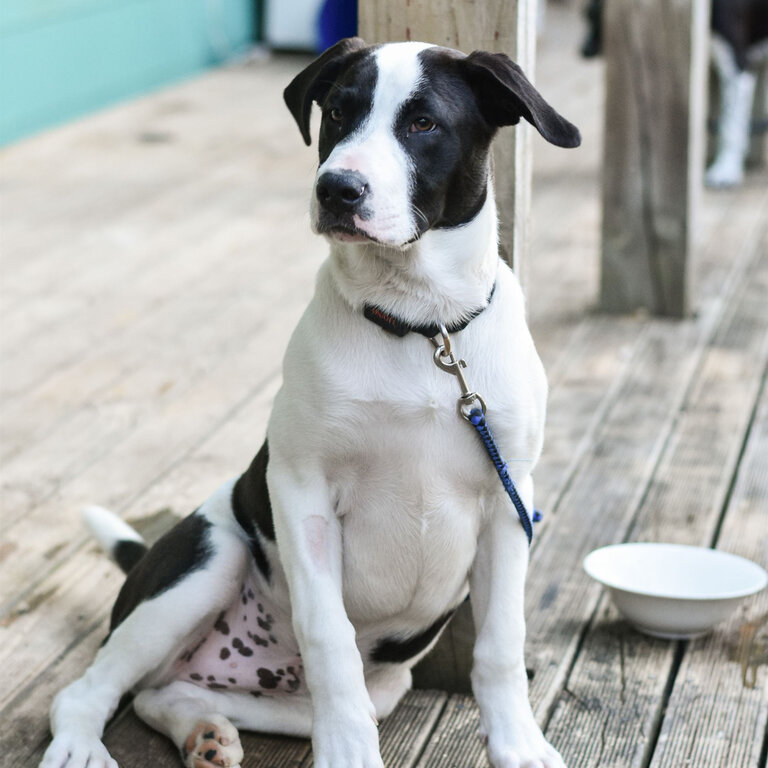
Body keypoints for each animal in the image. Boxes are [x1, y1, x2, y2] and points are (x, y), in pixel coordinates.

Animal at [42, 37, 580, 768]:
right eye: (339, 112)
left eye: (423, 123)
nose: (337, 189)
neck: (422, 325)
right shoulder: (302, 489)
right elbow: (330, 639)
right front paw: (350, 755)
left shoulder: (507, 500)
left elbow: (500, 641)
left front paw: (519, 745)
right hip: (212, 558)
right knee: (91, 688)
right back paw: (80, 745)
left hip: (361, 686)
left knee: (167, 692)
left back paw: (206, 733)